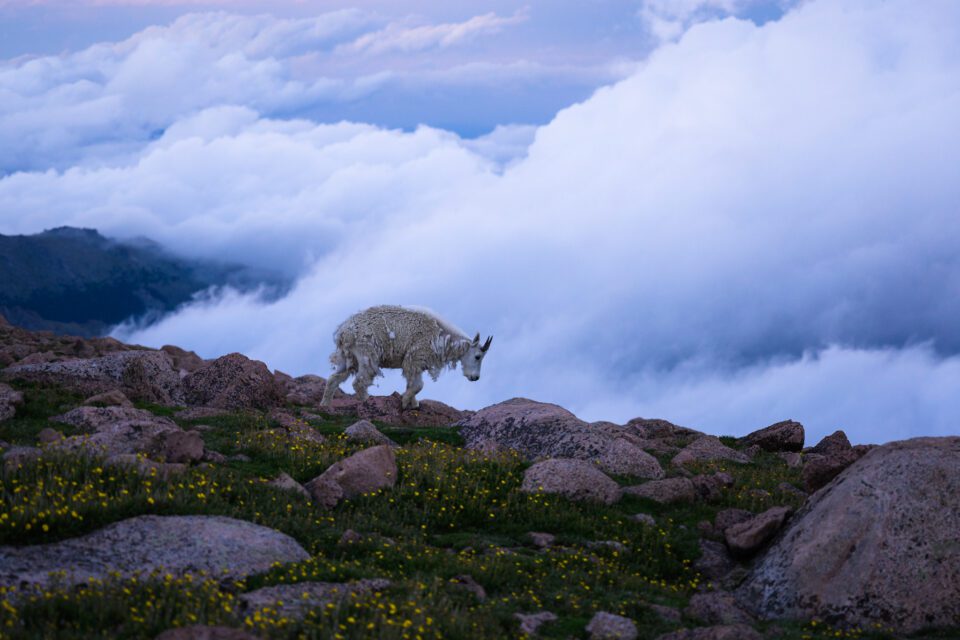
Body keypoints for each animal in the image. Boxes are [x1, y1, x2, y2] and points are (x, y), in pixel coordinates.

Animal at [318, 304, 492, 410]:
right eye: (478, 356)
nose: (475, 377)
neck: (440, 334)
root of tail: (343, 332)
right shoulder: (415, 357)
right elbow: (417, 385)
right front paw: (404, 401)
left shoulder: (416, 363)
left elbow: (413, 384)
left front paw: (413, 404)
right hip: (366, 354)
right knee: (359, 382)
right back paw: (368, 401)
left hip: (347, 357)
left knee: (334, 378)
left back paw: (325, 405)